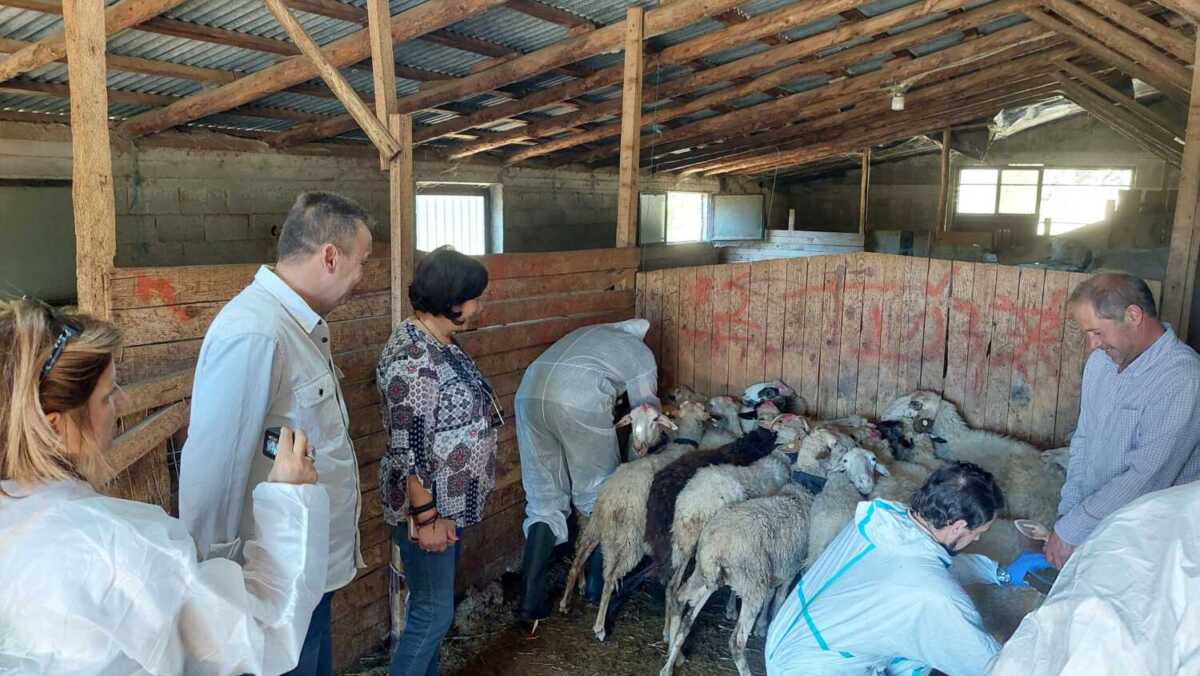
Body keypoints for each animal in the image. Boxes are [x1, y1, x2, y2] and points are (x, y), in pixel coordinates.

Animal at [561, 401, 708, 641]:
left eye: (655, 420)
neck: (683, 444)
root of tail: (613, 499)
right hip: (631, 540)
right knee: (611, 576)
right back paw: (600, 628)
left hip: (598, 527)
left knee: (578, 558)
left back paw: (566, 602)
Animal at [660, 481, 818, 676]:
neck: (796, 497)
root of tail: (718, 547)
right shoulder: (789, 572)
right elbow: (779, 600)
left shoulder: (775, 572)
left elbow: (771, 596)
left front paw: (762, 626)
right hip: (753, 585)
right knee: (736, 642)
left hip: (704, 574)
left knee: (681, 604)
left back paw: (668, 665)